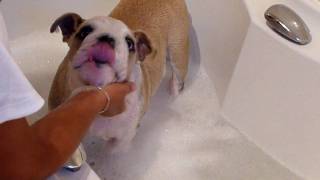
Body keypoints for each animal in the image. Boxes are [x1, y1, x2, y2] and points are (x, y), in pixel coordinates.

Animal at [49, 0, 190, 153]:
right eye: (84, 32)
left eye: (130, 43)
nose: (107, 38)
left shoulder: (122, 141)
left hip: (178, 54)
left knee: (178, 77)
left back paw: (173, 90)